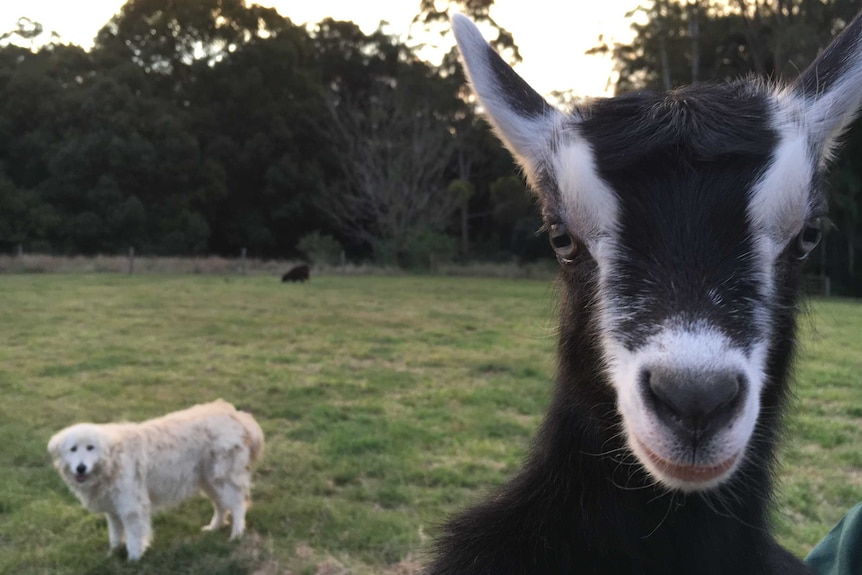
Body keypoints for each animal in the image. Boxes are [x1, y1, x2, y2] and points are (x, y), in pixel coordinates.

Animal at [46, 402, 264, 560]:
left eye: (90, 448)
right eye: (73, 449)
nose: (81, 468)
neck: (112, 458)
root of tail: (236, 414)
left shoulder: (131, 506)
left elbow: (134, 535)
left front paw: (133, 559)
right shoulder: (113, 507)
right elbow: (115, 533)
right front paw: (112, 553)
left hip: (224, 476)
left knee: (237, 504)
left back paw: (236, 534)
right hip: (209, 480)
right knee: (221, 505)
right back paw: (214, 527)